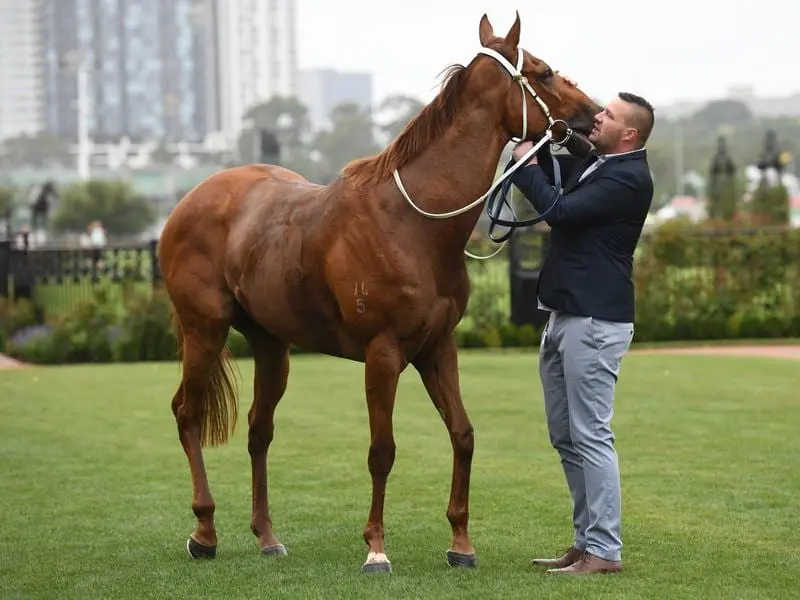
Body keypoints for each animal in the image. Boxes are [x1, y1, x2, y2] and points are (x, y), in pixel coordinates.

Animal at [158, 12, 600, 572]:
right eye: (543, 72)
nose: (595, 117)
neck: (411, 222)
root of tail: (189, 201)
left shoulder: (438, 348)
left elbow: (463, 434)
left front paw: (461, 544)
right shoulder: (383, 354)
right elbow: (382, 451)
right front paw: (375, 548)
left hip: (272, 345)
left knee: (260, 429)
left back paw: (267, 536)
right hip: (205, 331)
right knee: (187, 414)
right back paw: (205, 531)